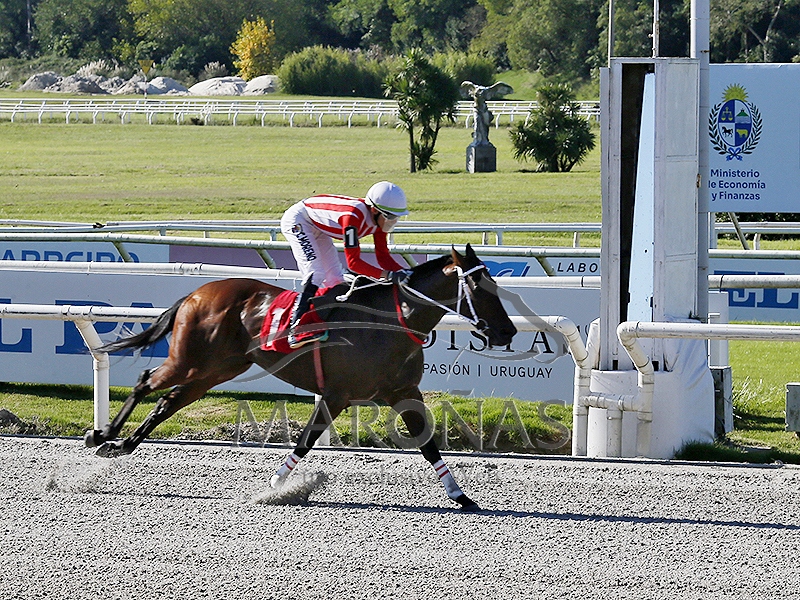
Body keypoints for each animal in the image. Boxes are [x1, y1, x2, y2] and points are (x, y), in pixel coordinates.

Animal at [84, 244, 517, 510]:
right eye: (478, 286)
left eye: (496, 283)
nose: (507, 331)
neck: (388, 323)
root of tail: (196, 293)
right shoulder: (337, 394)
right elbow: (306, 441)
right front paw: (272, 489)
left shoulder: (403, 391)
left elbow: (428, 445)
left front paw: (461, 496)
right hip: (191, 360)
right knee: (146, 381)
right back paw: (102, 436)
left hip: (215, 369)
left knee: (166, 402)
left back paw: (121, 445)